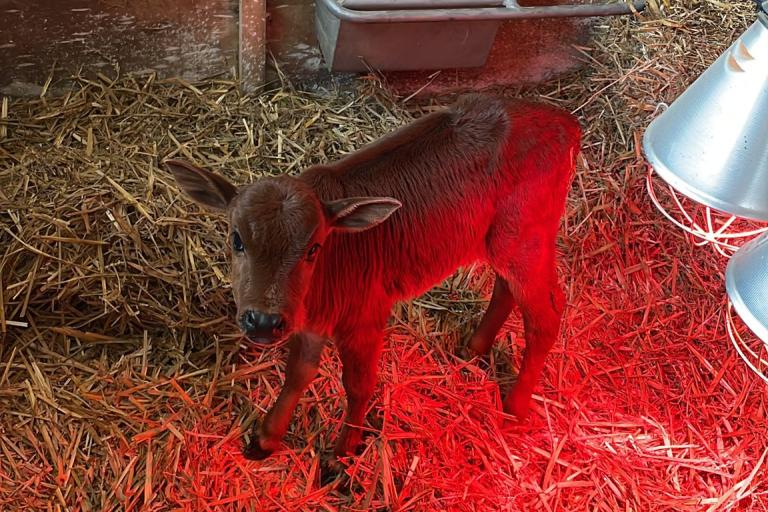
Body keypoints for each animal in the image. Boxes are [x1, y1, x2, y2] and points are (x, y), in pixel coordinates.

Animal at [165, 93, 580, 460]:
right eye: (236, 238)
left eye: (314, 249)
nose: (263, 321)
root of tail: (564, 120)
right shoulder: (310, 322)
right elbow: (298, 372)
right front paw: (267, 438)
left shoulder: (365, 314)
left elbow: (358, 384)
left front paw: (342, 453)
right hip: (505, 242)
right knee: (506, 288)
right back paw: (473, 348)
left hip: (526, 236)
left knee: (546, 315)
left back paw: (515, 406)